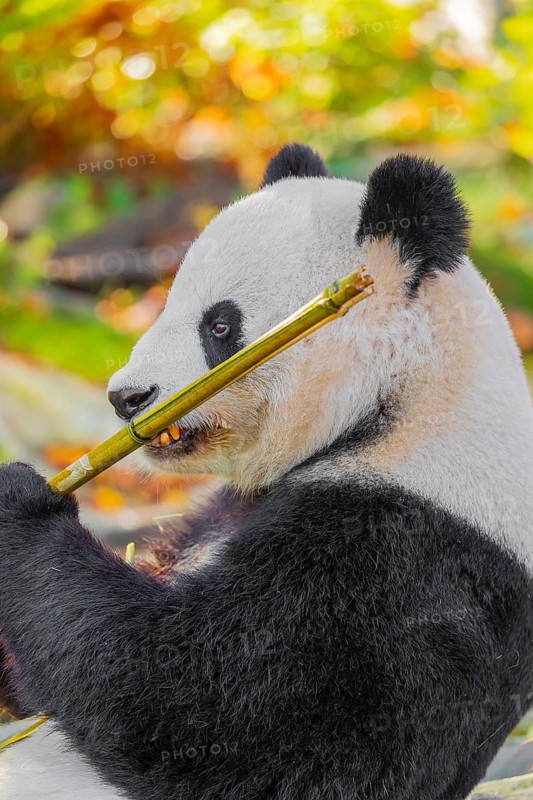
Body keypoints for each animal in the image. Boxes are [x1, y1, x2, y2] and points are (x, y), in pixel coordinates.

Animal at [0, 143, 533, 800]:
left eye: (220, 325)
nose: (126, 398)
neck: (403, 398)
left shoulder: (409, 555)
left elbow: (201, 709)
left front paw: (20, 502)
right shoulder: (226, 509)